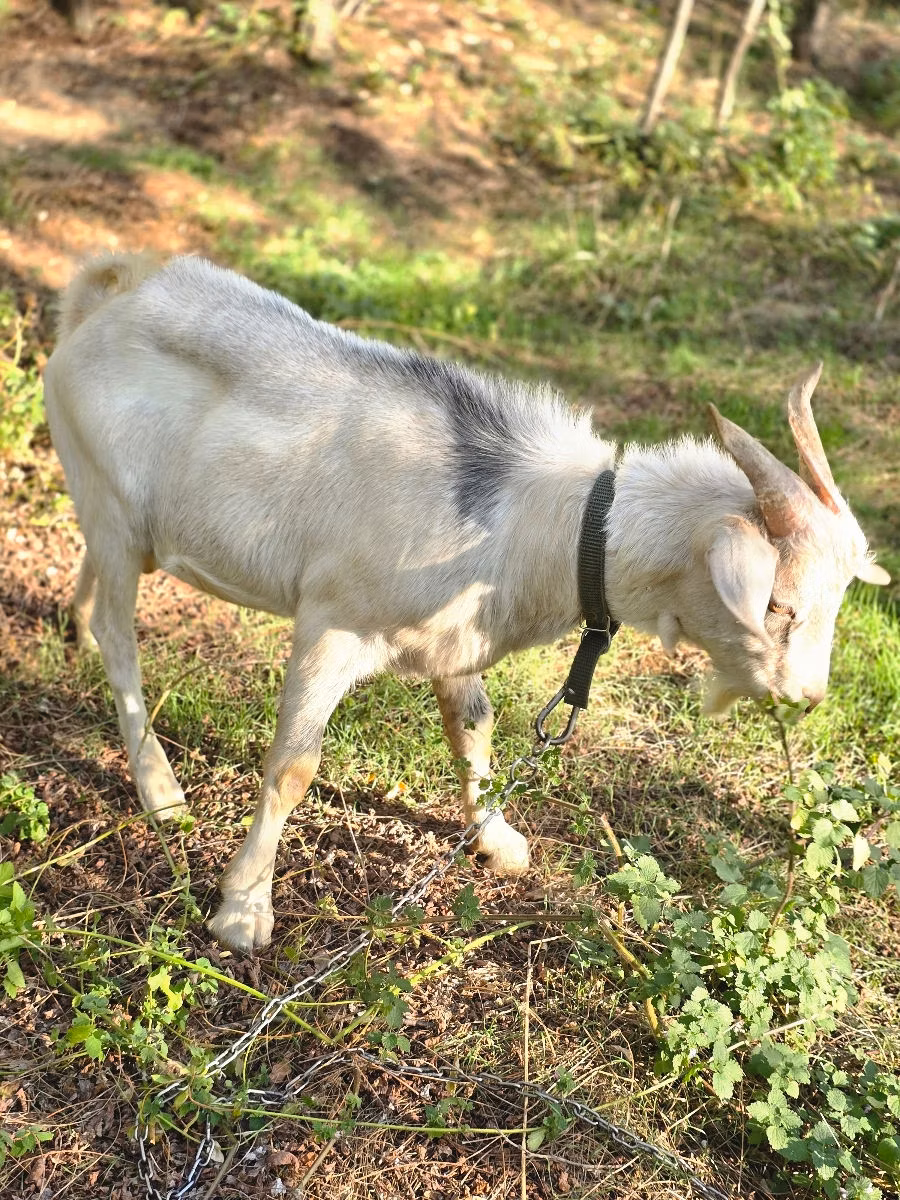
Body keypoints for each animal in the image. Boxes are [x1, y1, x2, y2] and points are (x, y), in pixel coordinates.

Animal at [43, 253, 889, 954]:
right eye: (778, 604)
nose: (808, 696)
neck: (539, 518)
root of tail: (106, 293)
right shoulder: (332, 623)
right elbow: (293, 766)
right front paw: (244, 910)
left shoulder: (456, 642)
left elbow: (473, 728)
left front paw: (496, 838)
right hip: (115, 509)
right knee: (123, 637)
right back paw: (160, 790)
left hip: (113, 514)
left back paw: (76, 629)